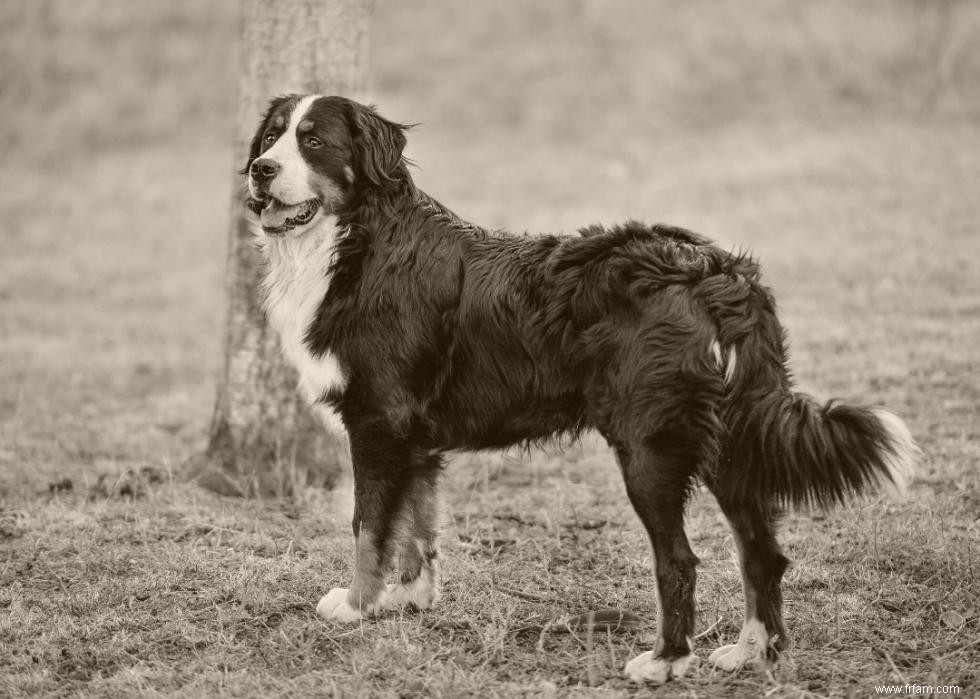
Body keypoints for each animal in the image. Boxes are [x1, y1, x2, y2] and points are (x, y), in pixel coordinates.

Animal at [241, 95, 916, 688]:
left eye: (314, 142)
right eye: (271, 136)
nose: (260, 169)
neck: (359, 241)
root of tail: (711, 270)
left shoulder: (379, 421)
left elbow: (368, 525)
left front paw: (356, 604)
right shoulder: (413, 438)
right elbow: (415, 526)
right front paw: (409, 596)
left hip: (648, 448)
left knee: (679, 561)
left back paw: (667, 660)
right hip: (729, 442)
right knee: (761, 553)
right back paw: (753, 651)